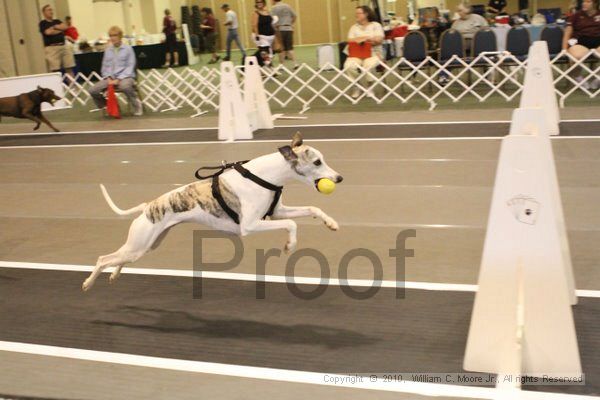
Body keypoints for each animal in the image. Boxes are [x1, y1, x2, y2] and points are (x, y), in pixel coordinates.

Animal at [82, 133, 342, 292]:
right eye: (317, 162)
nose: (339, 178)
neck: (264, 176)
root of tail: (147, 206)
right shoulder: (250, 225)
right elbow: (292, 225)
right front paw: (289, 246)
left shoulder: (276, 213)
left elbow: (312, 209)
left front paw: (331, 223)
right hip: (139, 244)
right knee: (103, 259)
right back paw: (88, 282)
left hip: (145, 246)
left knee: (119, 259)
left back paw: (114, 275)